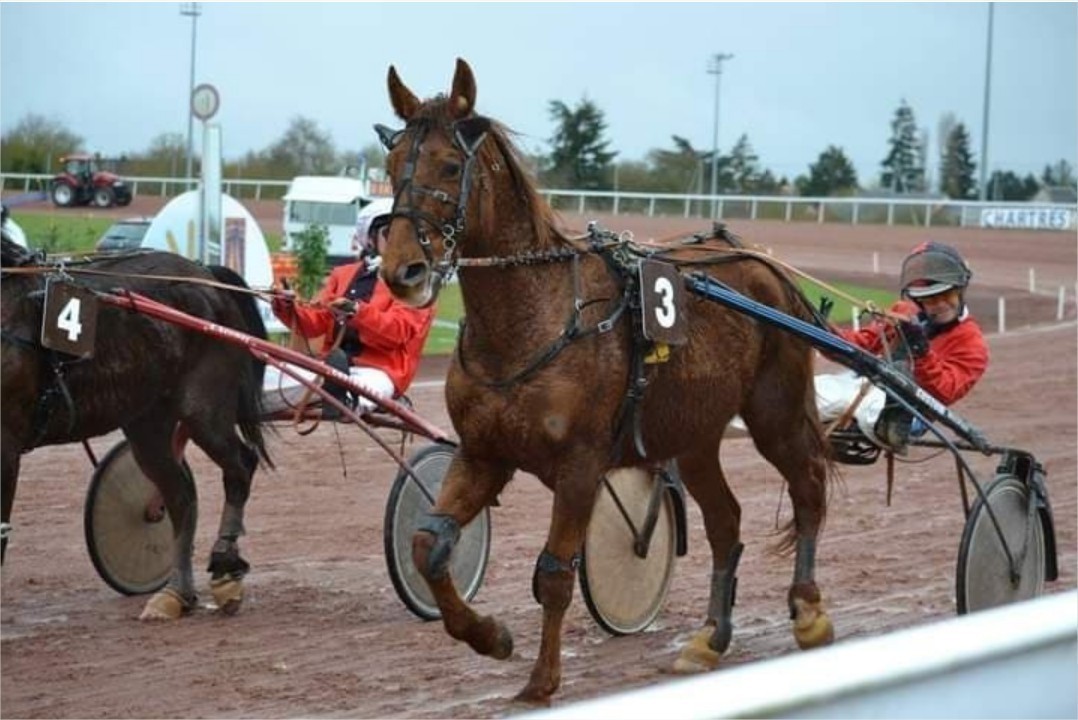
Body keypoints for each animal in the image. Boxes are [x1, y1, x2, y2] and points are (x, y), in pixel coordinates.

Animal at [1, 234, 269, 620]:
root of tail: (204, 274)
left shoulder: (7, 445)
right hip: (148, 421)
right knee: (180, 495)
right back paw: (175, 594)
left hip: (204, 408)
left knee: (240, 466)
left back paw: (224, 568)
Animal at [375, 59, 836, 707]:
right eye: (393, 164)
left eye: (448, 165)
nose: (403, 271)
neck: (532, 319)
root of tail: (762, 261)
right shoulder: (483, 452)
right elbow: (428, 546)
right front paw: (491, 636)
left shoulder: (581, 464)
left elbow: (552, 573)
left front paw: (540, 683)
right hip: (694, 435)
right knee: (726, 520)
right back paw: (710, 639)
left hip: (777, 411)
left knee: (808, 486)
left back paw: (809, 611)